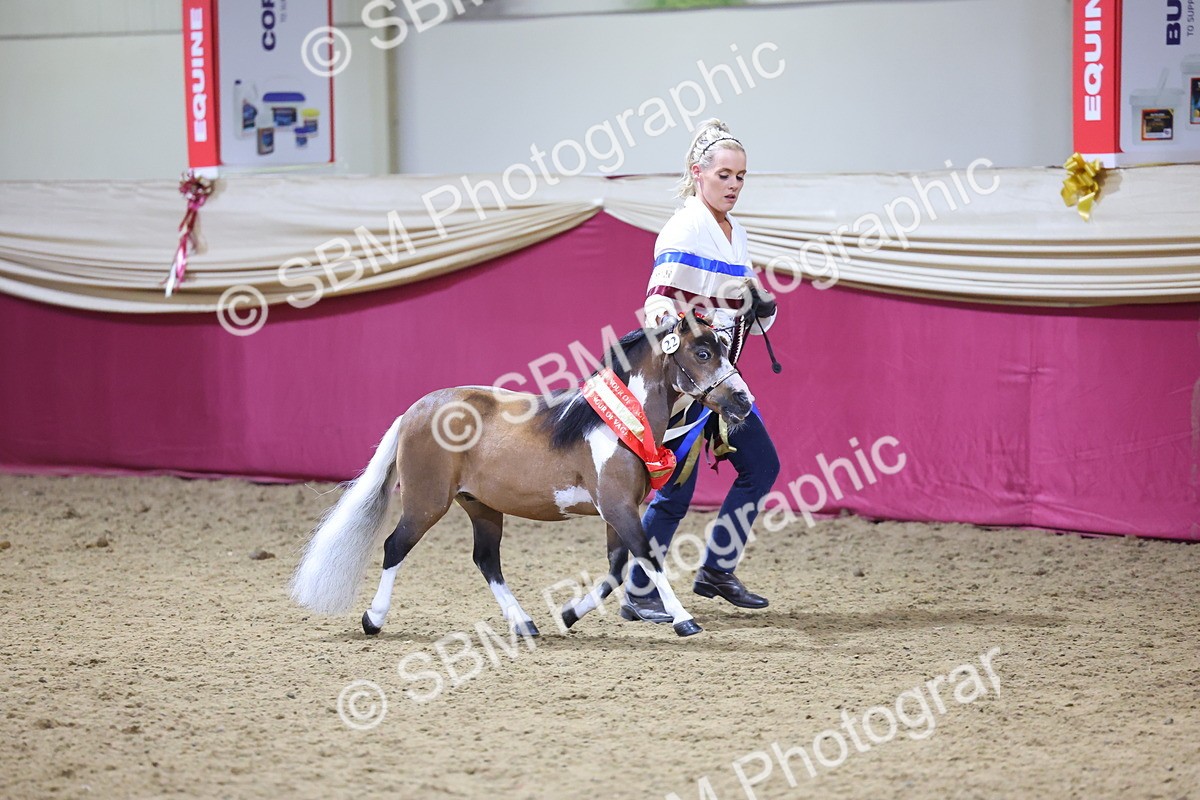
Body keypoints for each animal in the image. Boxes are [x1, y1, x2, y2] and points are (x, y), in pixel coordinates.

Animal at [289, 313, 755, 638]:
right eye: (702, 353)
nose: (743, 401)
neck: (614, 424)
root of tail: (414, 411)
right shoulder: (618, 508)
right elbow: (648, 557)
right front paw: (684, 619)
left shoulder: (617, 512)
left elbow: (616, 568)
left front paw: (567, 614)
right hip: (426, 502)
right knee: (395, 546)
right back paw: (373, 619)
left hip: (481, 507)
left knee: (486, 560)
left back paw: (524, 622)